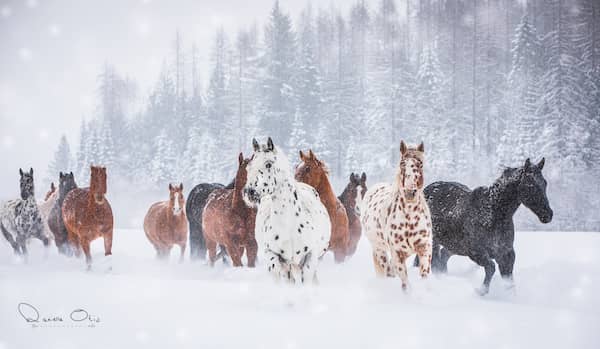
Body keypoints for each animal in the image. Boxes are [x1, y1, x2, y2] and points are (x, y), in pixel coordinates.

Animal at [241, 137, 330, 284]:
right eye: (249, 167)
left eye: (268, 164)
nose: (249, 192)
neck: (289, 223)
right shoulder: (276, 257)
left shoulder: (310, 256)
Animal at [360, 140, 432, 290]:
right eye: (402, 163)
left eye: (420, 164)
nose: (410, 193)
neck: (410, 218)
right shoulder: (397, 254)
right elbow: (405, 284)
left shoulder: (424, 248)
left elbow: (424, 274)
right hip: (379, 249)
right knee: (387, 270)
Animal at [418, 158, 552, 294]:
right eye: (530, 185)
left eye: (545, 183)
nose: (548, 215)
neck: (492, 214)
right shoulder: (476, 252)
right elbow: (491, 268)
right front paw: (482, 291)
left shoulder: (506, 255)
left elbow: (509, 281)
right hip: (432, 241)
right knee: (434, 263)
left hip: (453, 245)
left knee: (443, 257)